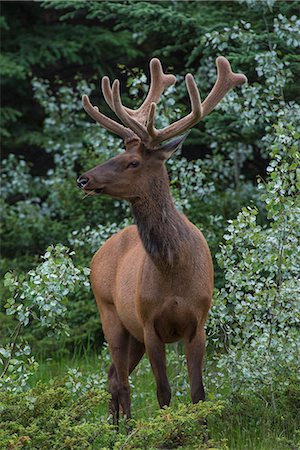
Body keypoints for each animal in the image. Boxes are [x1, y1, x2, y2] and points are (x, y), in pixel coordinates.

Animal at [78, 56, 246, 426]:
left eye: (132, 161)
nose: (83, 178)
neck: (173, 267)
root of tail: (98, 255)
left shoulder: (198, 323)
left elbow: (198, 393)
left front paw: (202, 431)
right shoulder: (149, 323)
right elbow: (163, 393)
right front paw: (168, 432)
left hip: (131, 333)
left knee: (112, 375)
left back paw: (116, 428)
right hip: (111, 315)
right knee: (121, 380)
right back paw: (123, 429)